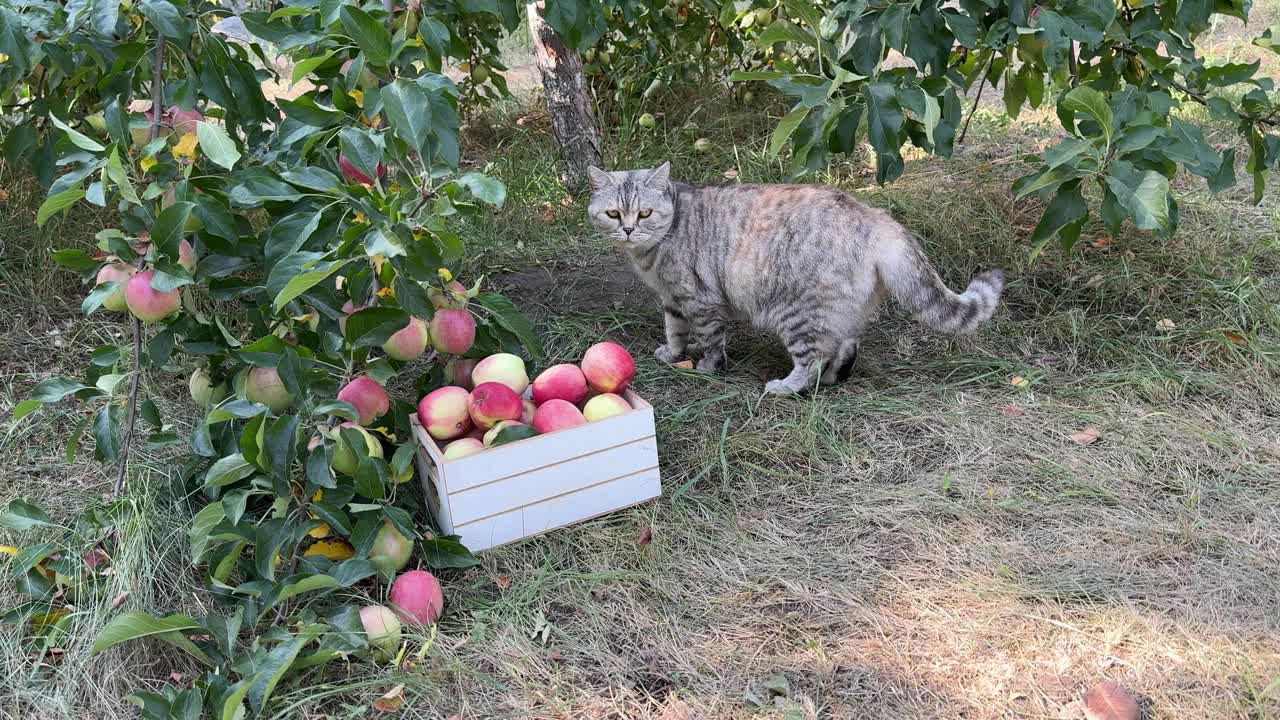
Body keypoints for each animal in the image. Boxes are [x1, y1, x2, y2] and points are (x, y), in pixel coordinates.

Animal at [586, 162, 1003, 394]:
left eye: (644, 213)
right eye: (612, 213)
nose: (627, 229)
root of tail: (874, 216)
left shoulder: (699, 300)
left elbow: (710, 341)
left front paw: (706, 368)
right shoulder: (673, 300)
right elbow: (674, 331)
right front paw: (672, 355)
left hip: (798, 313)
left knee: (813, 358)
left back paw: (788, 387)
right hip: (838, 311)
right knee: (845, 345)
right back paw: (834, 378)